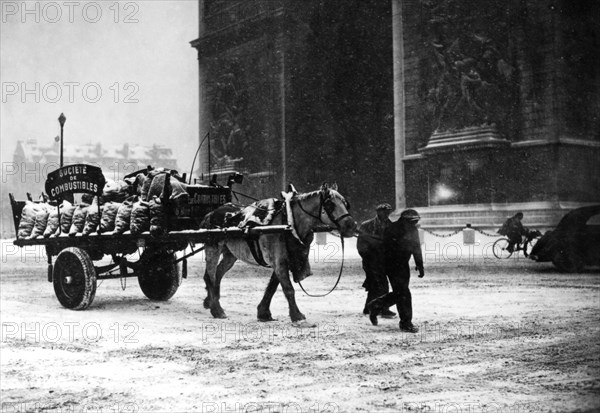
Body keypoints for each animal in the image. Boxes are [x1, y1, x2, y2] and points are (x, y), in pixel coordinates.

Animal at [202, 182, 354, 324]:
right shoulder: (279, 261)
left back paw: (210, 301)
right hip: (213, 249)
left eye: (345, 203)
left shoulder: (284, 260)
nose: (352, 226)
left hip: (230, 254)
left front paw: (263, 313)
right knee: (210, 276)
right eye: (330, 204)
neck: (287, 224)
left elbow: (272, 287)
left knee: (218, 273)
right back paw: (216, 309)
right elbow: (288, 288)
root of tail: (211, 214)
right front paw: (296, 315)